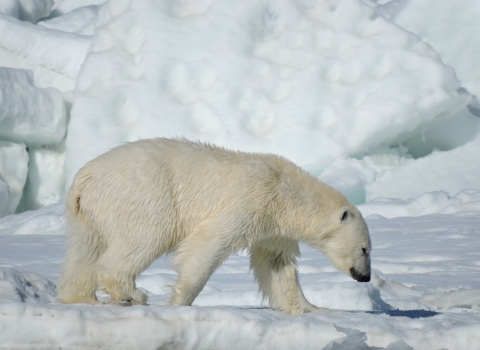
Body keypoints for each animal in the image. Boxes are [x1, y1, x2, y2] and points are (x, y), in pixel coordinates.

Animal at [56, 138, 372, 316]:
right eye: (365, 249)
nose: (365, 277)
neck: (286, 191)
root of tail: (84, 178)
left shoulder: (275, 228)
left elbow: (276, 265)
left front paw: (311, 307)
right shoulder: (252, 198)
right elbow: (209, 243)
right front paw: (181, 301)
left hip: (88, 212)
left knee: (85, 250)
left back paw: (81, 297)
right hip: (144, 195)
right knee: (143, 238)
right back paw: (133, 294)